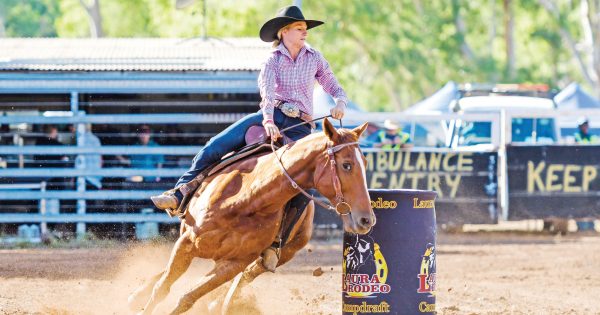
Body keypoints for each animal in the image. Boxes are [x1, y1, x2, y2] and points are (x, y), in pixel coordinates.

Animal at [129, 119, 376, 314]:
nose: (367, 220)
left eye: (365, 163)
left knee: (246, 277)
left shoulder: (234, 264)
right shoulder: (186, 243)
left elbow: (187, 297)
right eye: (347, 165)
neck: (248, 198)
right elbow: (162, 288)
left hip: (283, 253)